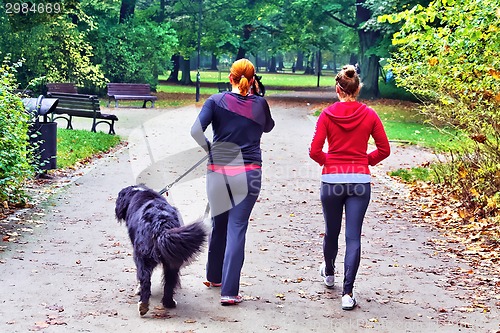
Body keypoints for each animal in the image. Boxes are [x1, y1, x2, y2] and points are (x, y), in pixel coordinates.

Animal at [115, 183, 207, 316]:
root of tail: (160, 222)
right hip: (172, 260)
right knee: (169, 281)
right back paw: (167, 303)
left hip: (141, 256)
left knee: (145, 280)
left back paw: (144, 304)